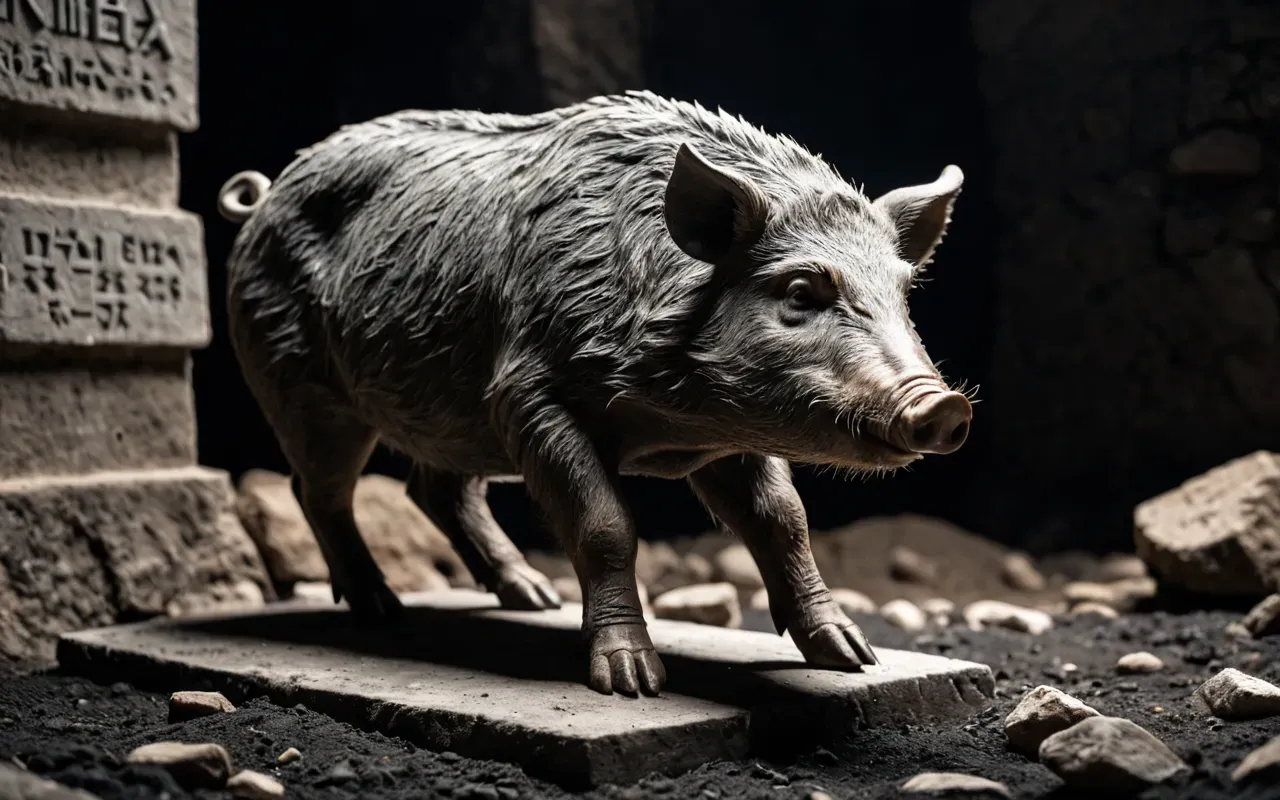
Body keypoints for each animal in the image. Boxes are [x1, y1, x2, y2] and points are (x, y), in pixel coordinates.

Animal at [216, 90, 972, 697]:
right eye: (799, 291)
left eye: (903, 293)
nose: (943, 405)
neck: (671, 423)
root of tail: (266, 194)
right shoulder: (528, 394)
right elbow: (605, 524)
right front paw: (634, 684)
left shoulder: (731, 435)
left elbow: (784, 519)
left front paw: (855, 657)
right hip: (297, 381)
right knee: (319, 490)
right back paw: (382, 610)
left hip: (452, 411)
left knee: (433, 490)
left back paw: (530, 598)